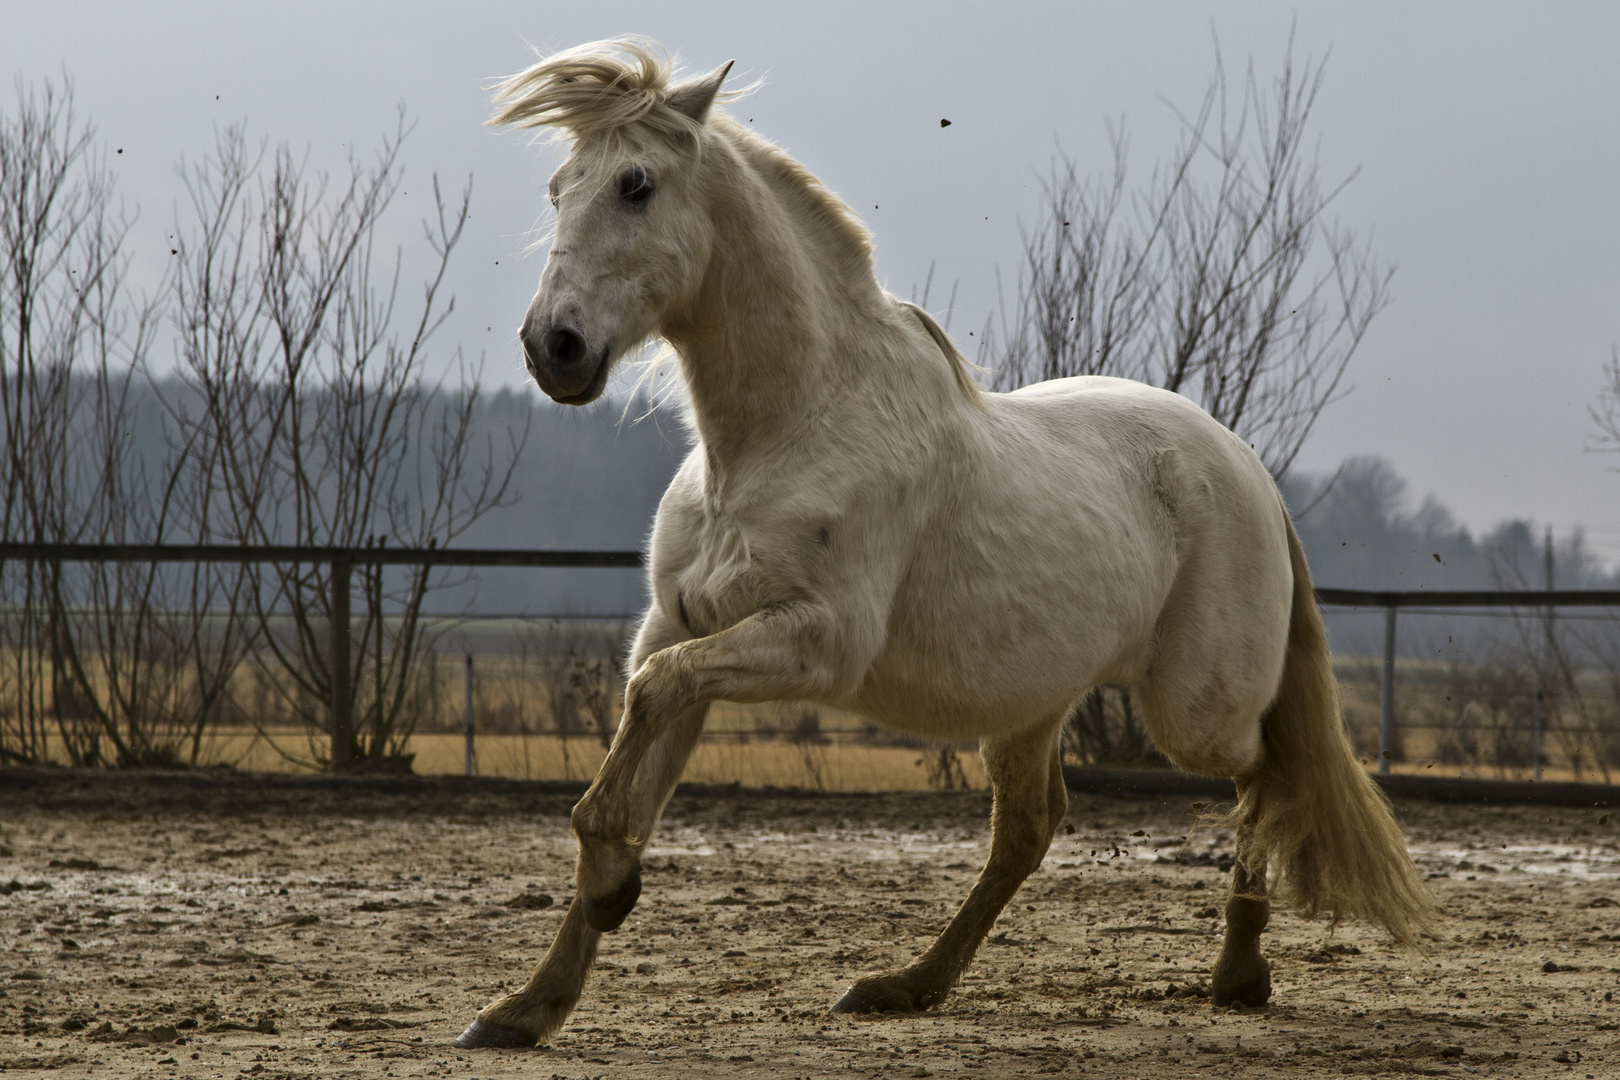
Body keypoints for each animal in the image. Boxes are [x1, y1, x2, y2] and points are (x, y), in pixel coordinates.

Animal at [453, 40, 1432, 1049]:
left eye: (636, 185)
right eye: (559, 189)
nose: (554, 348)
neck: (787, 430)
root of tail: (1248, 470)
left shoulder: (816, 645)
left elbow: (644, 714)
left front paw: (597, 914)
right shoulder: (680, 628)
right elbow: (628, 772)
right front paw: (526, 1005)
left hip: (1195, 713)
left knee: (1270, 779)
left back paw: (1239, 974)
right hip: (1032, 700)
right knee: (1031, 832)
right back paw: (908, 984)